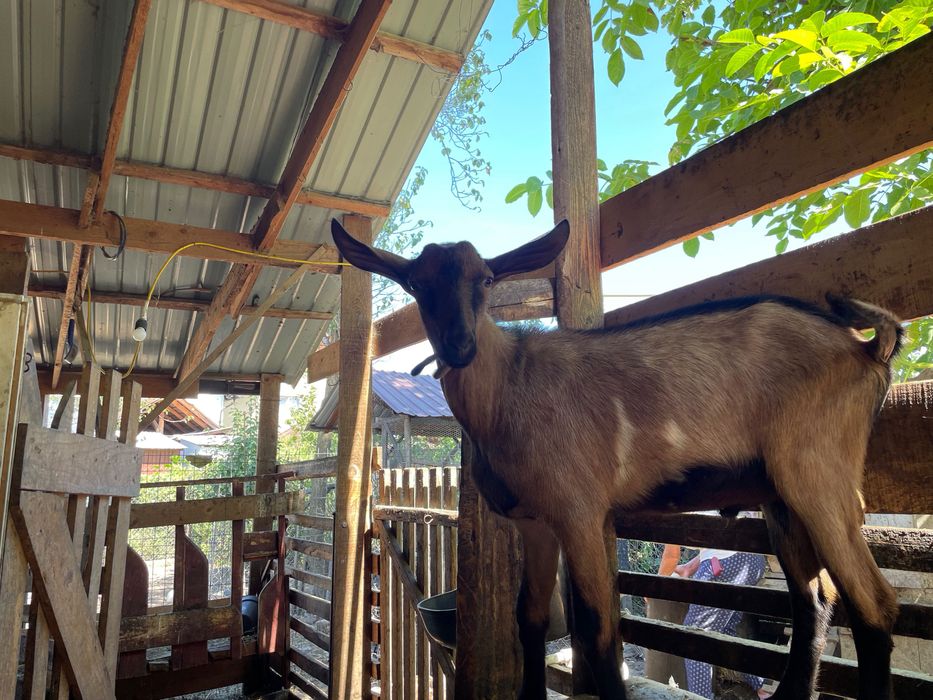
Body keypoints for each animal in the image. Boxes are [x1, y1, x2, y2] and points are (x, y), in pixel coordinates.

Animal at [331, 218, 902, 700]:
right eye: (415, 284)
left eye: (488, 279)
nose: (458, 345)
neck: (510, 387)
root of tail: (866, 349)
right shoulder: (535, 521)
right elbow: (529, 618)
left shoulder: (581, 510)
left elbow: (597, 629)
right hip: (780, 494)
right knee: (814, 601)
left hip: (818, 469)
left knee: (873, 604)